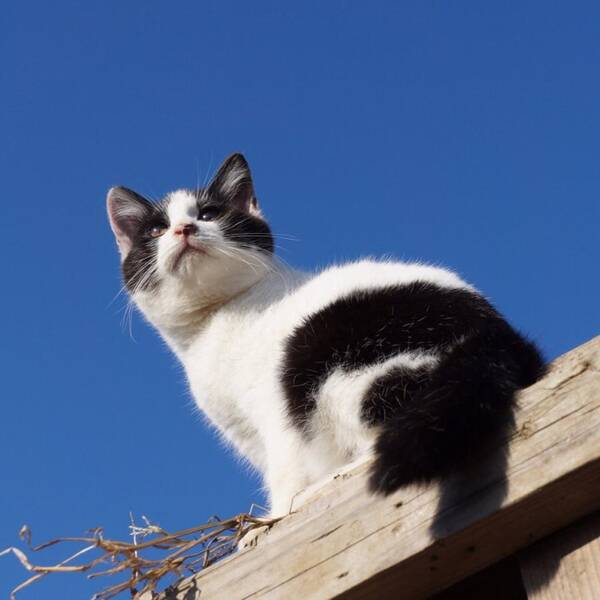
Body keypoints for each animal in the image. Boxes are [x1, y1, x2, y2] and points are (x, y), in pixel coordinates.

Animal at [105, 152, 548, 516]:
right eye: (156, 230)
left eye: (209, 214)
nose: (183, 229)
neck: (212, 322)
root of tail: (499, 338)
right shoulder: (246, 433)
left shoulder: (274, 411)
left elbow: (285, 472)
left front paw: (271, 521)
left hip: (336, 369)